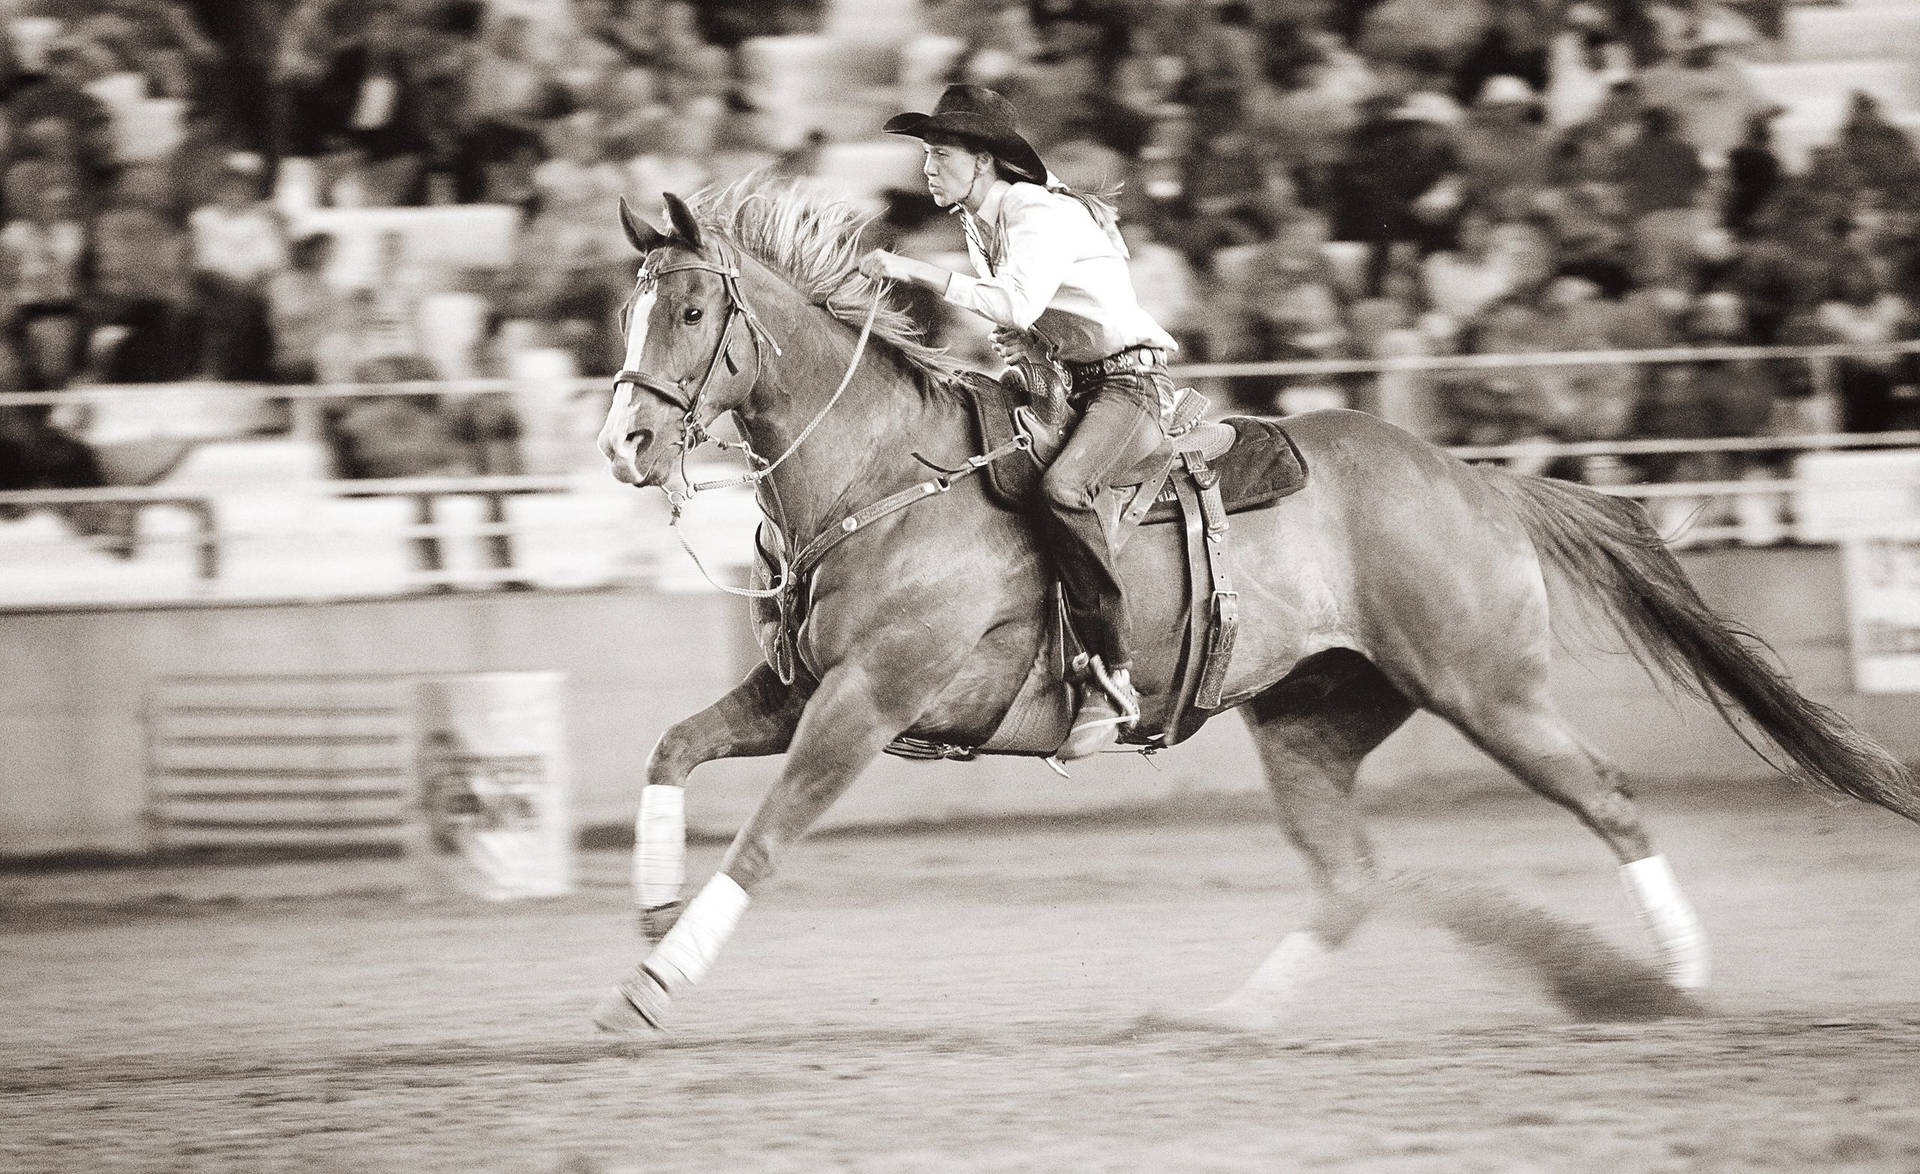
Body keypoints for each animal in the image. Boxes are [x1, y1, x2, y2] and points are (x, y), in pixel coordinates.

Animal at [589, 177, 1919, 1033]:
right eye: (631, 309)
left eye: (694, 310)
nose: (622, 443)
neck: (887, 475)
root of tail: (1477, 478)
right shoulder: (797, 689)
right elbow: (669, 746)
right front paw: (650, 908)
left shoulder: (868, 700)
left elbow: (767, 834)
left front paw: (655, 983)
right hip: (1311, 717)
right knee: (1351, 879)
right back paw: (1233, 1015)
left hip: (1485, 688)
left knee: (1610, 798)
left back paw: (1683, 979)